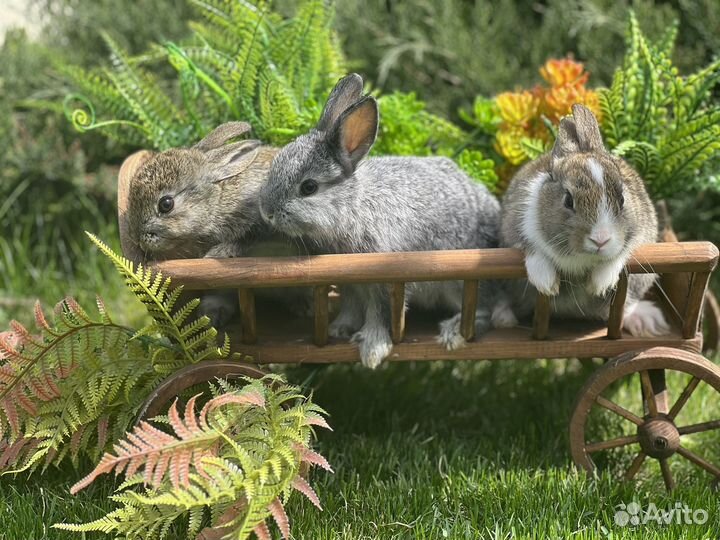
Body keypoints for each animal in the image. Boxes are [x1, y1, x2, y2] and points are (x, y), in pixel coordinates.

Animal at [257, 73, 501, 368]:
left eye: (309, 187)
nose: (266, 211)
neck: (354, 207)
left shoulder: (385, 281)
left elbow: (380, 314)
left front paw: (372, 350)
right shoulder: (350, 286)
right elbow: (351, 307)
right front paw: (339, 328)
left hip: (459, 285)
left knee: (483, 310)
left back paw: (453, 333)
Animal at [496, 104, 670, 337]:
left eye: (622, 199)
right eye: (568, 200)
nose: (600, 239)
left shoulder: (642, 235)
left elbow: (619, 256)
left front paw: (600, 283)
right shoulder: (513, 228)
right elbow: (531, 250)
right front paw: (546, 283)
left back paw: (646, 321)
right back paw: (502, 318)